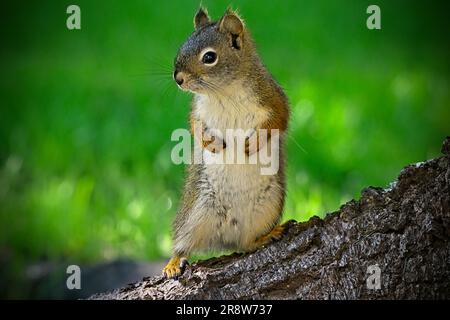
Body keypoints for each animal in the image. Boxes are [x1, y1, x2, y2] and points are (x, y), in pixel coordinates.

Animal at [163, 6, 290, 278]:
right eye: (182, 45)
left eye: (209, 57)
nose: (178, 78)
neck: (223, 91)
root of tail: (228, 236)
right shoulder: (198, 109)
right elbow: (194, 126)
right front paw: (209, 142)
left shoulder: (272, 97)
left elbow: (280, 119)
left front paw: (253, 143)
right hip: (194, 213)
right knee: (182, 244)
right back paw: (173, 262)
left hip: (268, 207)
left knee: (247, 243)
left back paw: (265, 236)